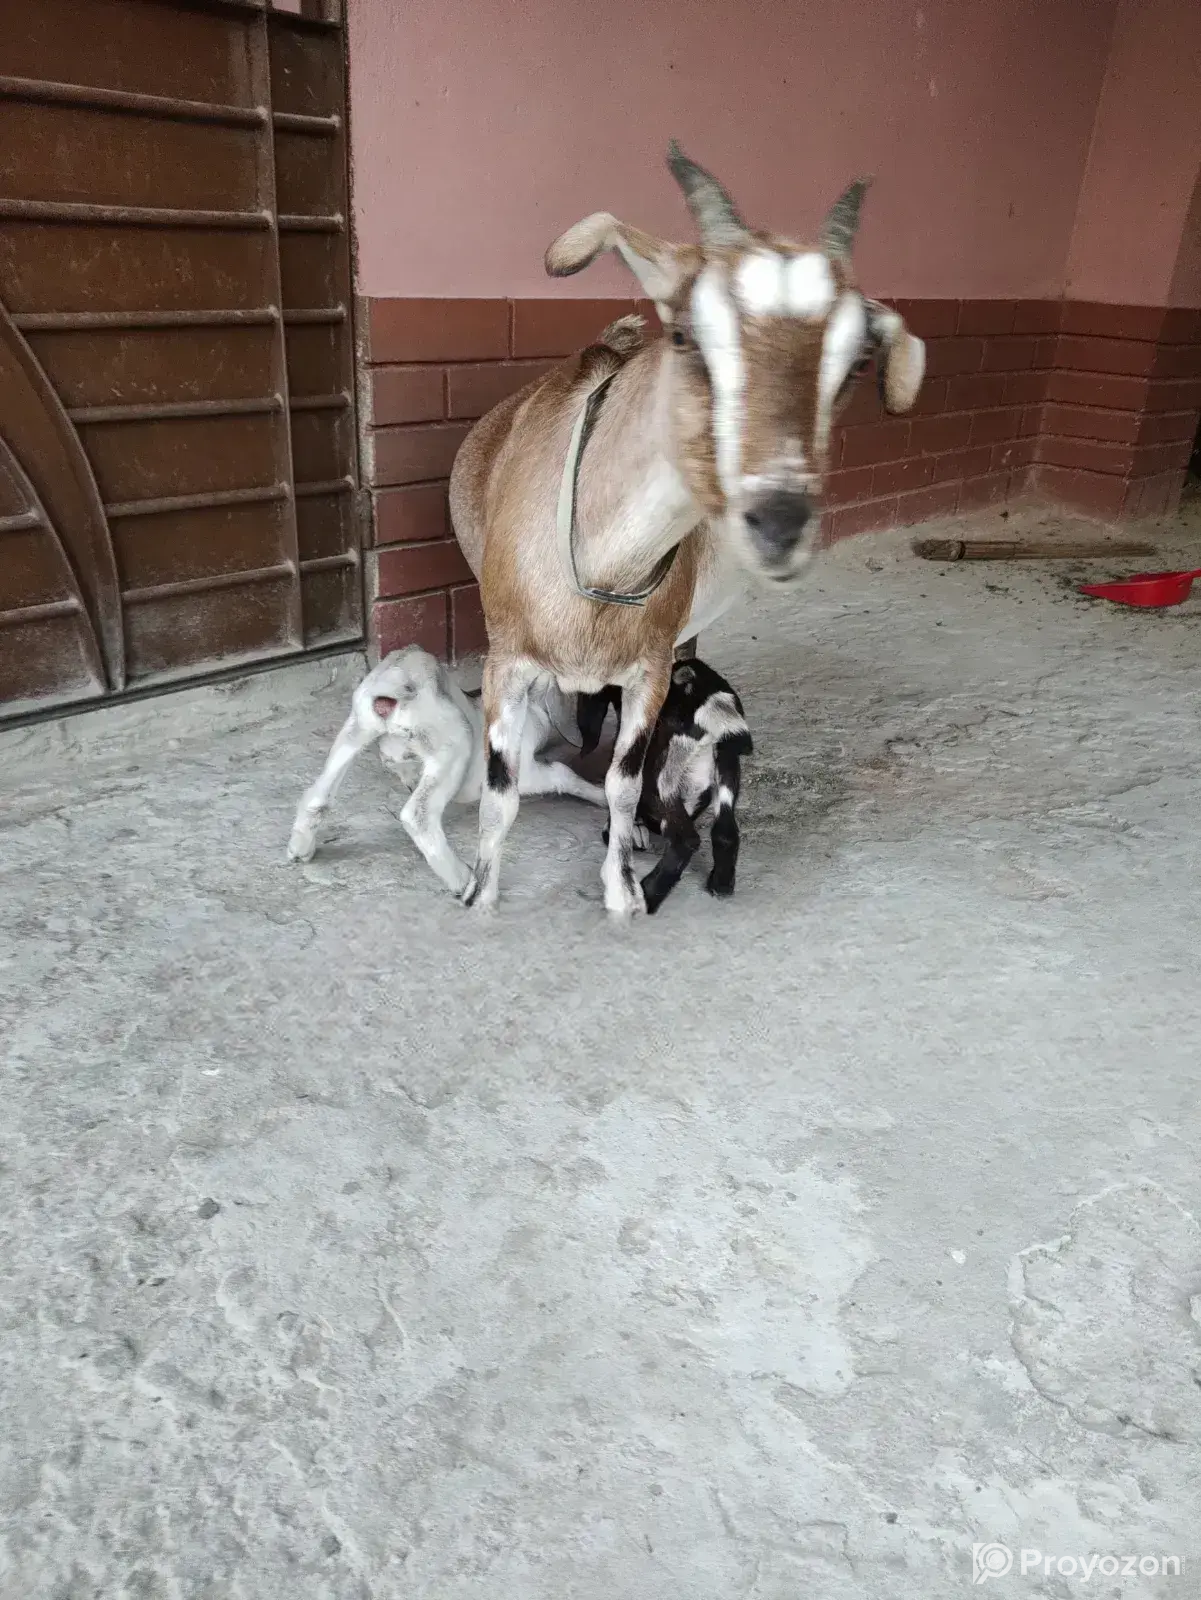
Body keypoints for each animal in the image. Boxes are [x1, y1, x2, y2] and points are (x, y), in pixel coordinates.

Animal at [287, 647, 605, 893]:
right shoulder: (523, 772)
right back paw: (463, 881)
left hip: (356, 729)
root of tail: (393, 687)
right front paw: (601, 796)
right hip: (454, 741)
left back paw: (300, 848)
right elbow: (563, 773)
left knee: (318, 795)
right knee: (417, 815)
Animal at [587, 657, 752, 913]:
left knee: (685, 839)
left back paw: (647, 894)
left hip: (660, 781)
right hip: (726, 765)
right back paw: (721, 884)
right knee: (725, 832)